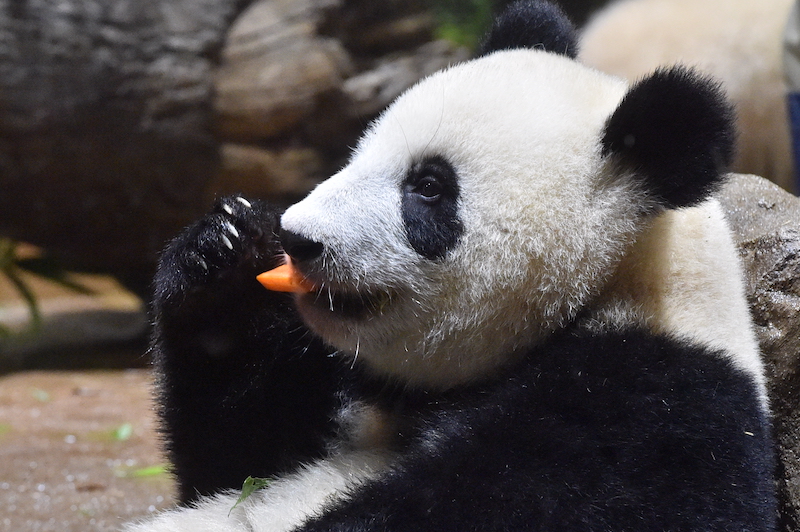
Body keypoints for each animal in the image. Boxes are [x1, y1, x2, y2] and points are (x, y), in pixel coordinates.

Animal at [125, 2, 776, 528]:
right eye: (359, 152)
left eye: (429, 187)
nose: (300, 239)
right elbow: (233, 465)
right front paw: (227, 251)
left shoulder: (647, 413)